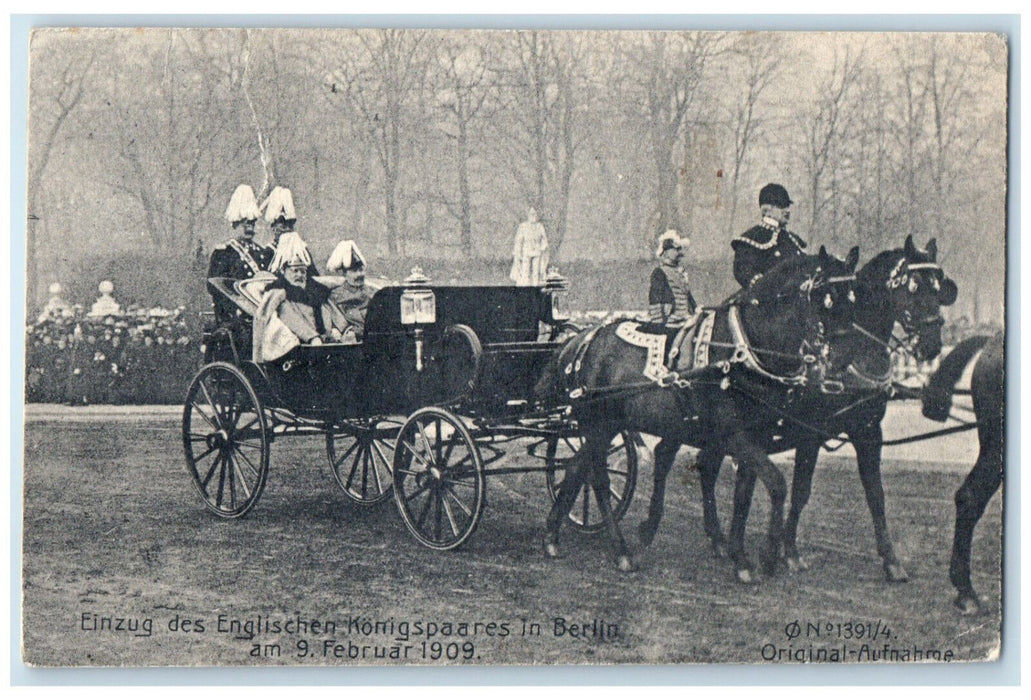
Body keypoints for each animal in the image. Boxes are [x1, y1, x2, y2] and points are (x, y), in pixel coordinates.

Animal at [540, 249, 861, 577]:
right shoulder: (733, 434)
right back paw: (620, 550)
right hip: (599, 424)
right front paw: (768, 556)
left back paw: (554, 534)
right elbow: (776, 484)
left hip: (605, 426)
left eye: (854, 298)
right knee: (598, 480)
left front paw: (740, 555)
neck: (740, 350)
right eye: (826, 299)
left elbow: (746, 491)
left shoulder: (751, 436)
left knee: (577, 468)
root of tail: (580, 341)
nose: (844, 360)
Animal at [635, 235, 956, 581]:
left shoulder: (867, 430)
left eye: (938, 286)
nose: (932, 345)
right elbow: (800, 490)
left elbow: (875, 494)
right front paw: (786, 552)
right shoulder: (809, 433)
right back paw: (652, 528)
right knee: (666, 456)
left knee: (705, 467)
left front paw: (891, 560)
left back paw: (718, 540)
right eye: (913, 286)